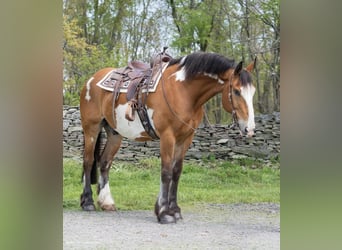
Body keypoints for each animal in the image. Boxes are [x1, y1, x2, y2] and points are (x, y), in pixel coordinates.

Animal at [79, 49, 256, 224]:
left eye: (252, 92)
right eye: (236, 91)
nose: (250, 129)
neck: (183, 90)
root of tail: (92, 79)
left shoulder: (185, 139)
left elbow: (176, 172)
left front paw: (175, 210)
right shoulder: (167, 137)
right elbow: (166, 172)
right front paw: (164, 212)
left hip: (115, 134)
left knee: (104, 162)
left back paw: (106, 202)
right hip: (91, 129)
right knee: (88, 161)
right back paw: (87, 202)